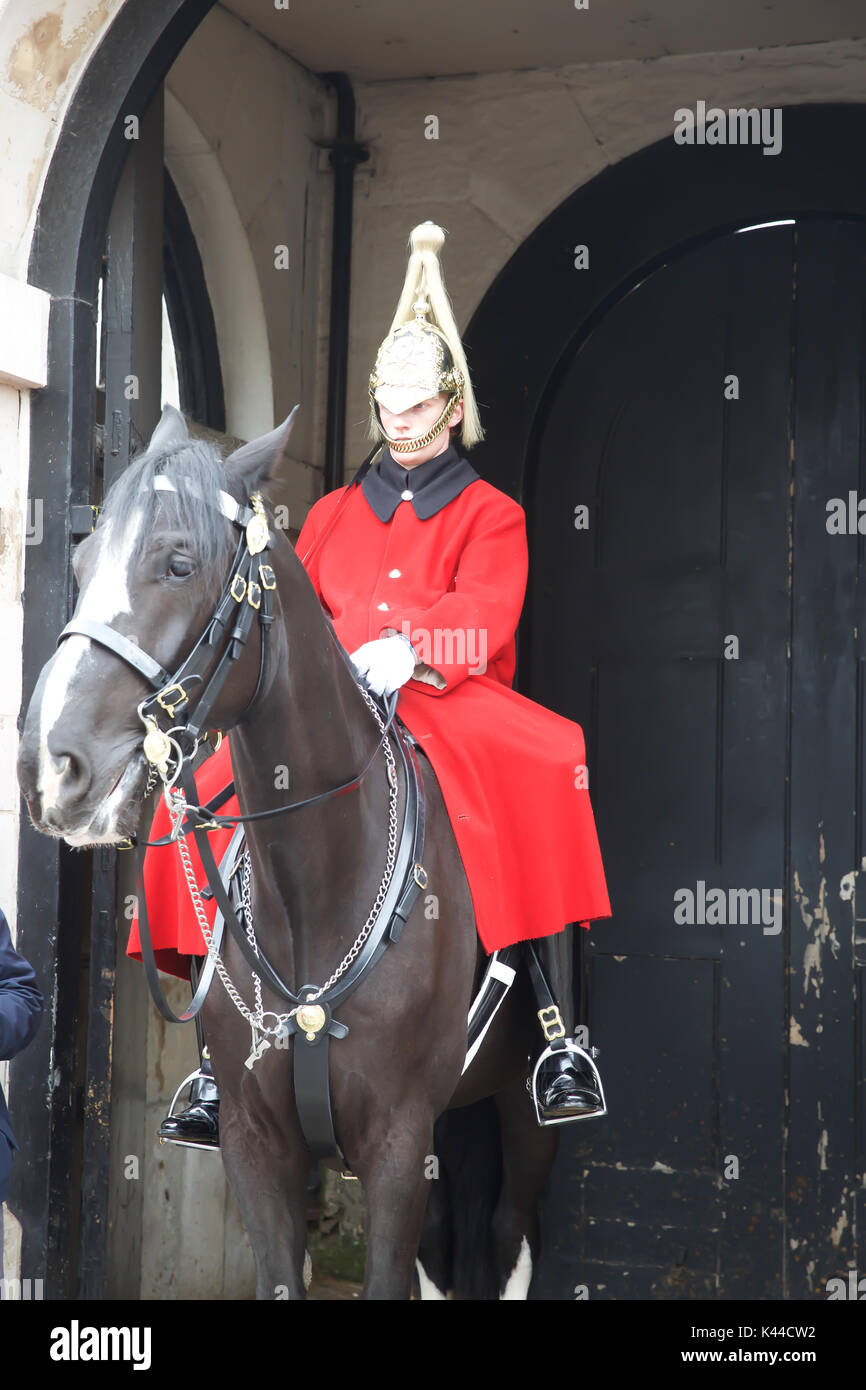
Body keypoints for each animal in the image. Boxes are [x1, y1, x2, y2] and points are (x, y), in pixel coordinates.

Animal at [22, 405, 561, 1295]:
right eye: (80, 559)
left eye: (178, 562)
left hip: (519, 1108)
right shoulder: (254, 1142)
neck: (317, 882)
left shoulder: (398, 1143)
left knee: (515, 1230)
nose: (46, 767)